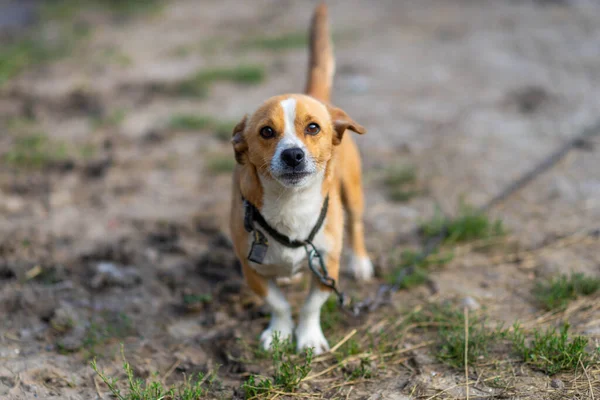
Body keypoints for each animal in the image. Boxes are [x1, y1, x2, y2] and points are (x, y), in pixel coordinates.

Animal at [229, 2, 370, 354]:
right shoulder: (251, 270)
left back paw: (361, 263)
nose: (293, 154)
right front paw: (279, 333)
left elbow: (310, 306)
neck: (291, 204)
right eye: (266, 131)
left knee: (357, 225)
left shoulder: (327, 267)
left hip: (353, 193)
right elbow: (278, 303)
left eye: (313, 128)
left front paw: (308, 339)